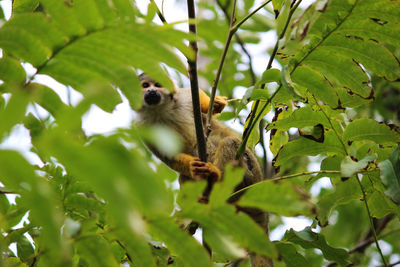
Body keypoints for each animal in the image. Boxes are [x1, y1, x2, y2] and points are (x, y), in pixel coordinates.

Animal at [138, 74, 272, 267]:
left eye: (157, 84)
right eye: (145, 86)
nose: (151, 91)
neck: (160, 111)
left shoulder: (184, 98)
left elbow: (198, 103)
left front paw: (213, 103)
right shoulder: (143, 126)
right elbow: (169, 157)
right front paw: (192, 167)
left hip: (251, 173)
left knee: (228, 141)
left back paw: (216, 178)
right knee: (184, 175)